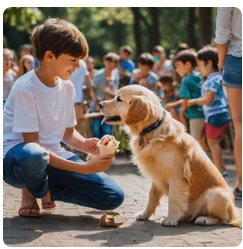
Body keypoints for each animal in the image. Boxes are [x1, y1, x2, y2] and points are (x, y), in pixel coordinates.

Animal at [98, 85, 241, 228]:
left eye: (119, 99)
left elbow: (173, 199)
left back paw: (205, 219)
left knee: (223, 219)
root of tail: (235, 212)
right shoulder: (157, 174)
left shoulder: (177, 176)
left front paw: (170, 219)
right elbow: (152, 196)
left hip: (214, 194)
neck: (152, 130)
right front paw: (145, 214)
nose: (99, 104)